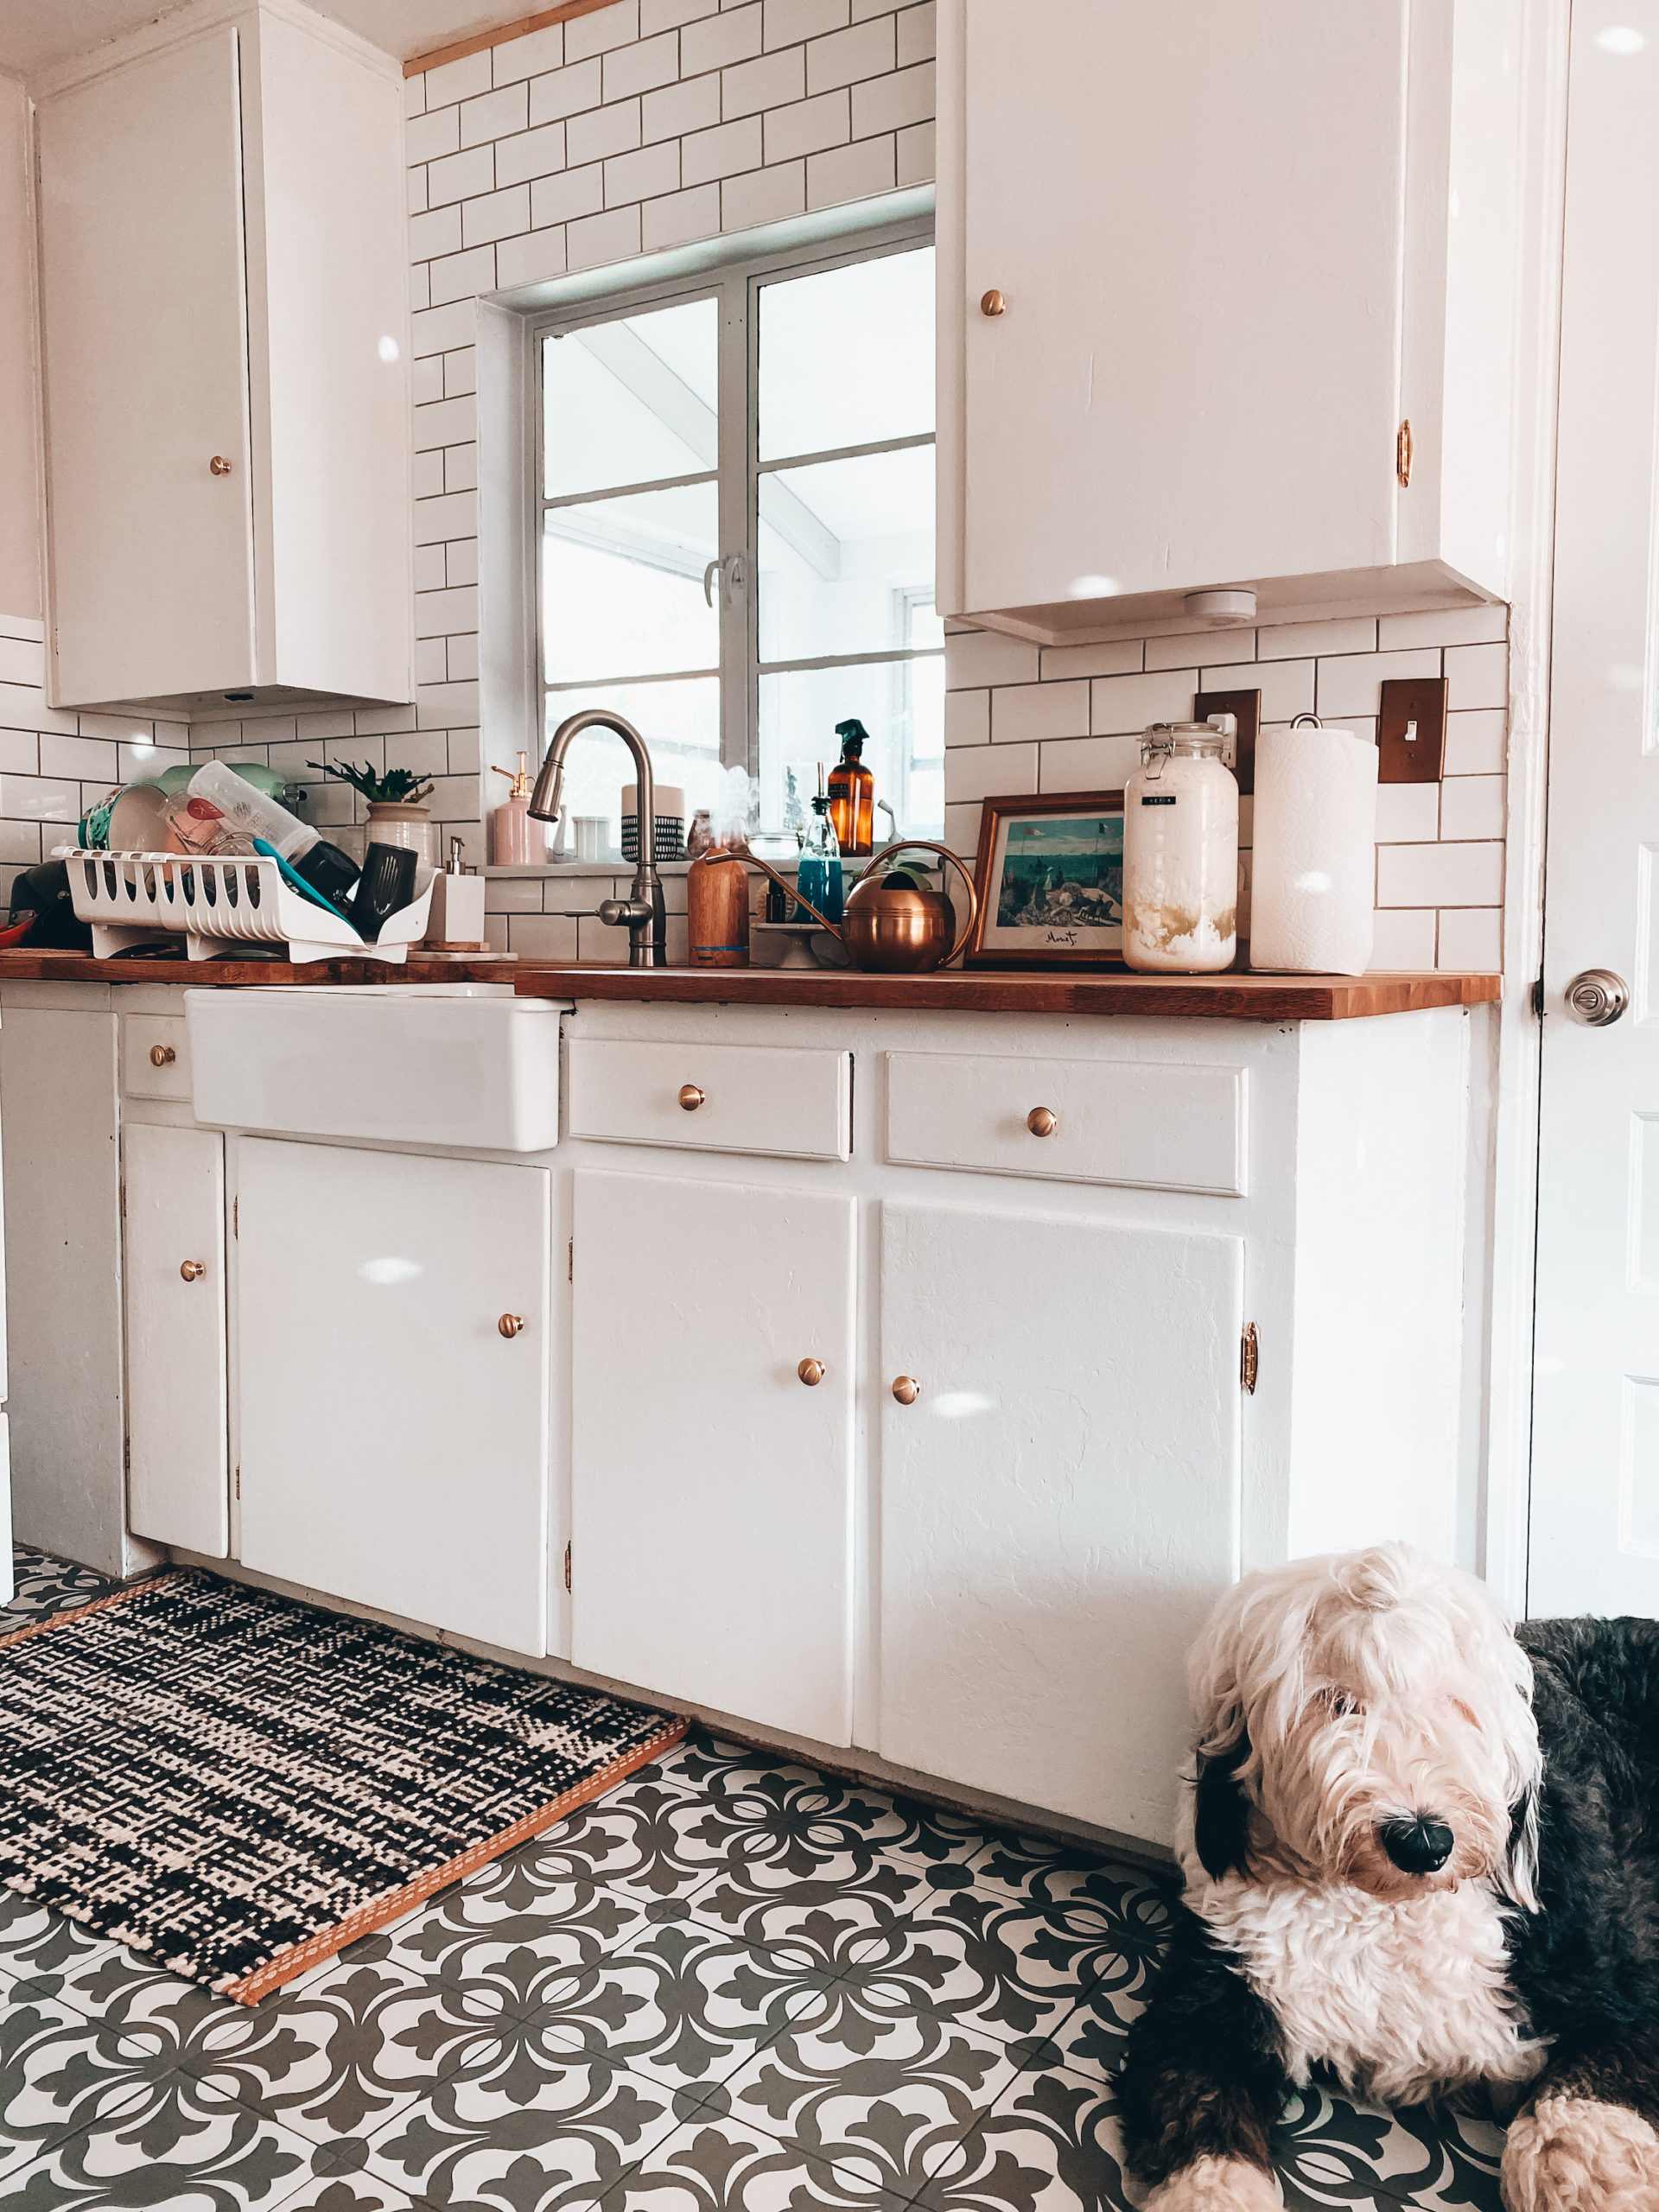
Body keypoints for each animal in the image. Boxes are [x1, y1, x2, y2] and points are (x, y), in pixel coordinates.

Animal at [1119, 1548, 1659, 2202]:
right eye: (1335, 1701)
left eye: (1454, 1701)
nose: (1422, 1840)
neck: (1387, 1910)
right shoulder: (1215, 1992)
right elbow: (1199, 2118)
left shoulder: (1619, 1982)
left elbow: (1587, 2108)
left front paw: (1587, 2178)